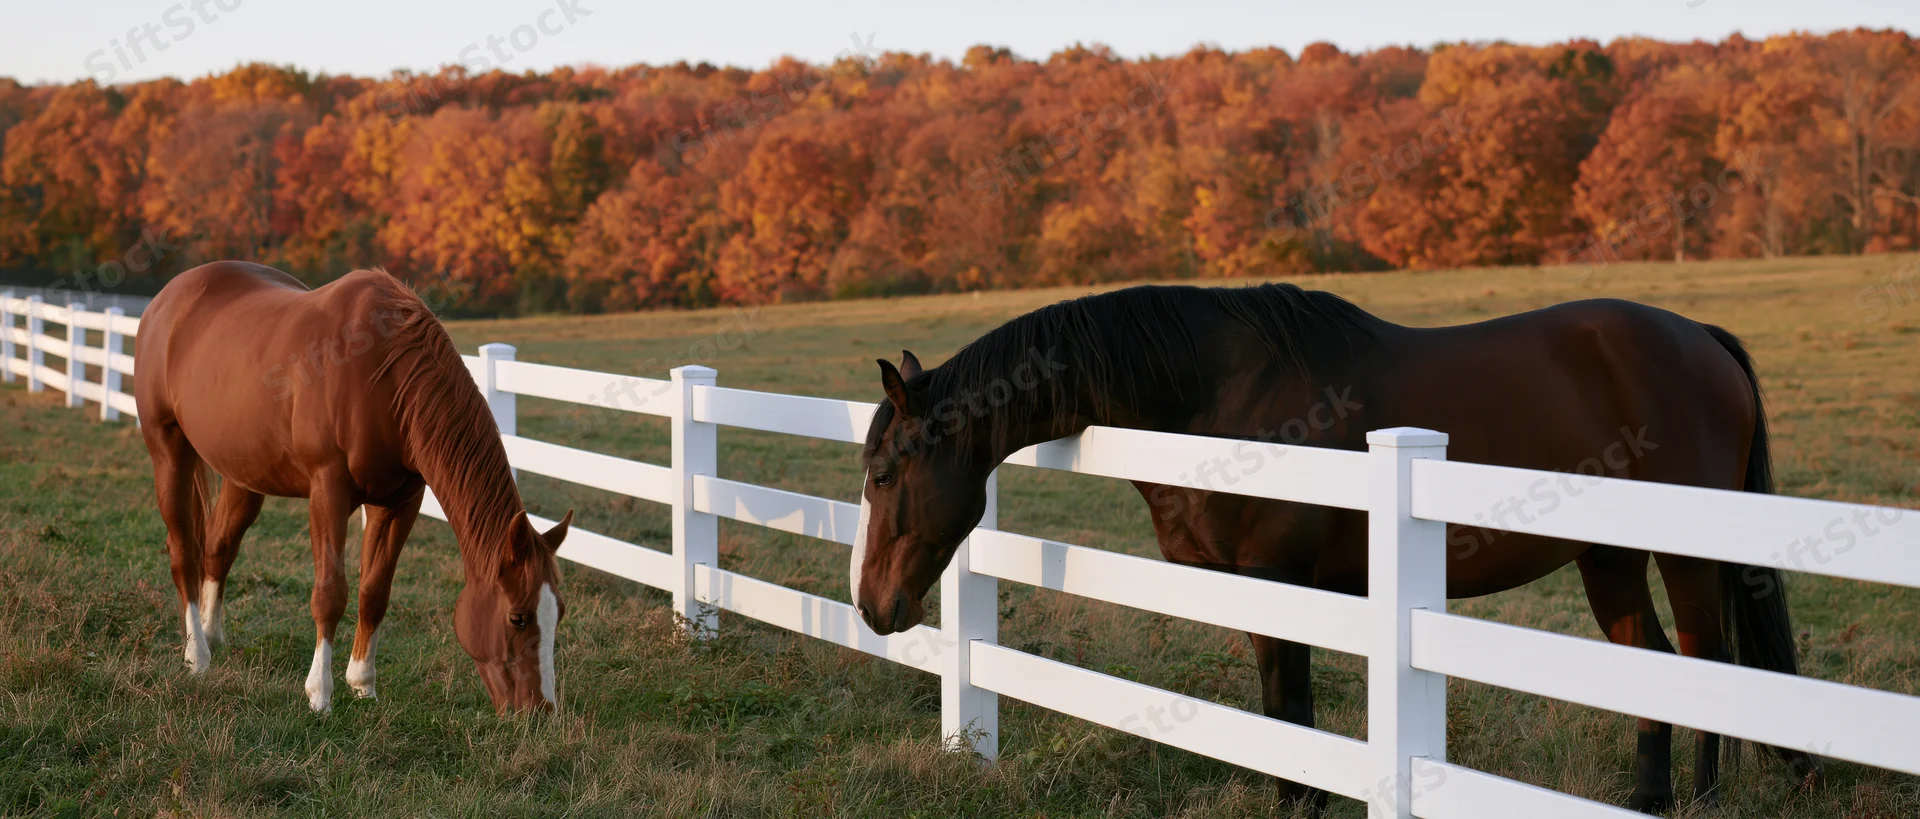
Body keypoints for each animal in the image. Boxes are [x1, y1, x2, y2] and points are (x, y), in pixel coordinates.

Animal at [134, 261, 572, 714]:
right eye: (517, 617)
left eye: (558, 612)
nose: (541, 710)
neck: (385, 375)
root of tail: (169, 297)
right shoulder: (329, 490)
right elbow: (330, 592)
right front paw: (320, 694)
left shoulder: (400, 501)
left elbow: (374, 591)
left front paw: (363, 684)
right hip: (169, 452)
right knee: (183, 552)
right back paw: (196, 655)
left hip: (245, 475)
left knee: (219, 547)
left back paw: (211, 635)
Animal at [850, 282, 1819, 813]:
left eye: (887, 472)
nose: (873, 607)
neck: (1211, 392)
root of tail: (1701, 339)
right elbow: (1283, 710)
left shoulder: (1281, 579)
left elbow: (1290, 705)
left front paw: (1302, 800)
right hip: (1605, 554)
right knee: (1647, 663)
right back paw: (1646, 798)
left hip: (1686, 555)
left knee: (1706, 661)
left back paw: (1700, 799)